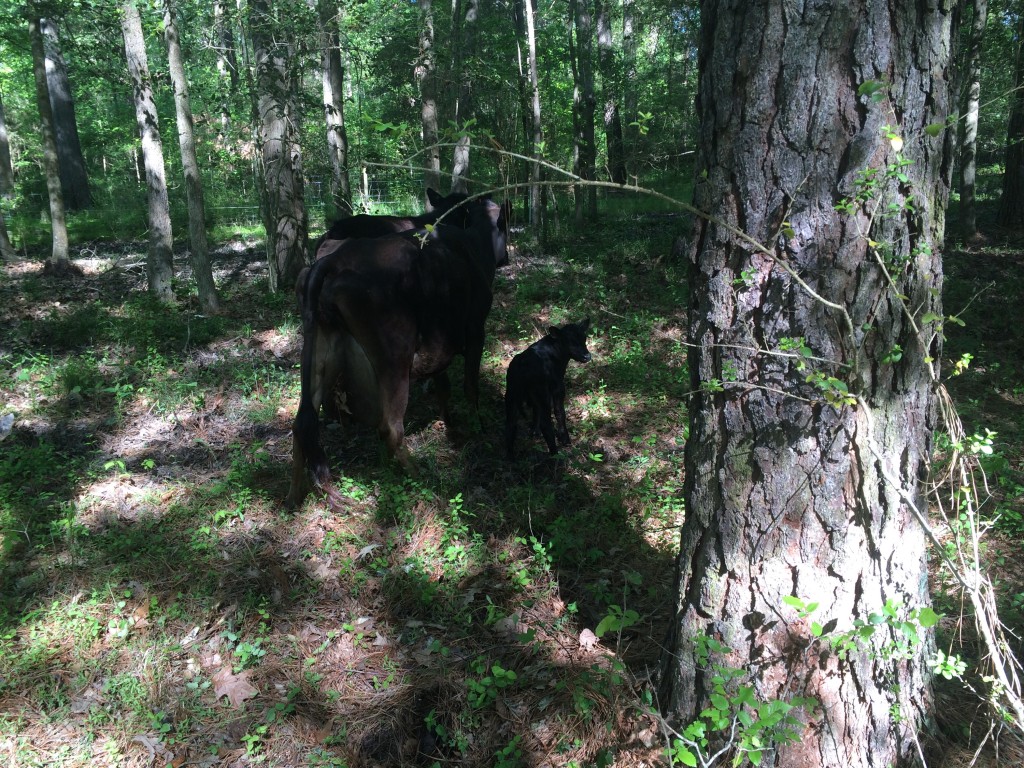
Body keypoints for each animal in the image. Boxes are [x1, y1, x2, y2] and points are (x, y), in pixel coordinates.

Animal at [286, 196, 509, 512]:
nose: (507, 258)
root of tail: (333, 261)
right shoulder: (476, 329)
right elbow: (470, 387)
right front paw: (478, 426)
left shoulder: (440, 344)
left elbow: (443, 387)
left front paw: (449, 424)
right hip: (394, 359)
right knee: (390, 427)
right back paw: (421, 481)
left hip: (320, 347)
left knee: (303, 421)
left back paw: (295, 496)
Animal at [503, 319, 593, 456]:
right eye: (569, 341)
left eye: (584, 338)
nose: (587, 356)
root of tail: (522, 365)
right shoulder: (558, 387)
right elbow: (560, 412)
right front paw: (565, 440)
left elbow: (536, 411)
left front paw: (534, 432)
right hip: (542, 393)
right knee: (545, 423)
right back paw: (555, 454)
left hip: (512, 393)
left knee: (511, 423)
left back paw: (510, 456)